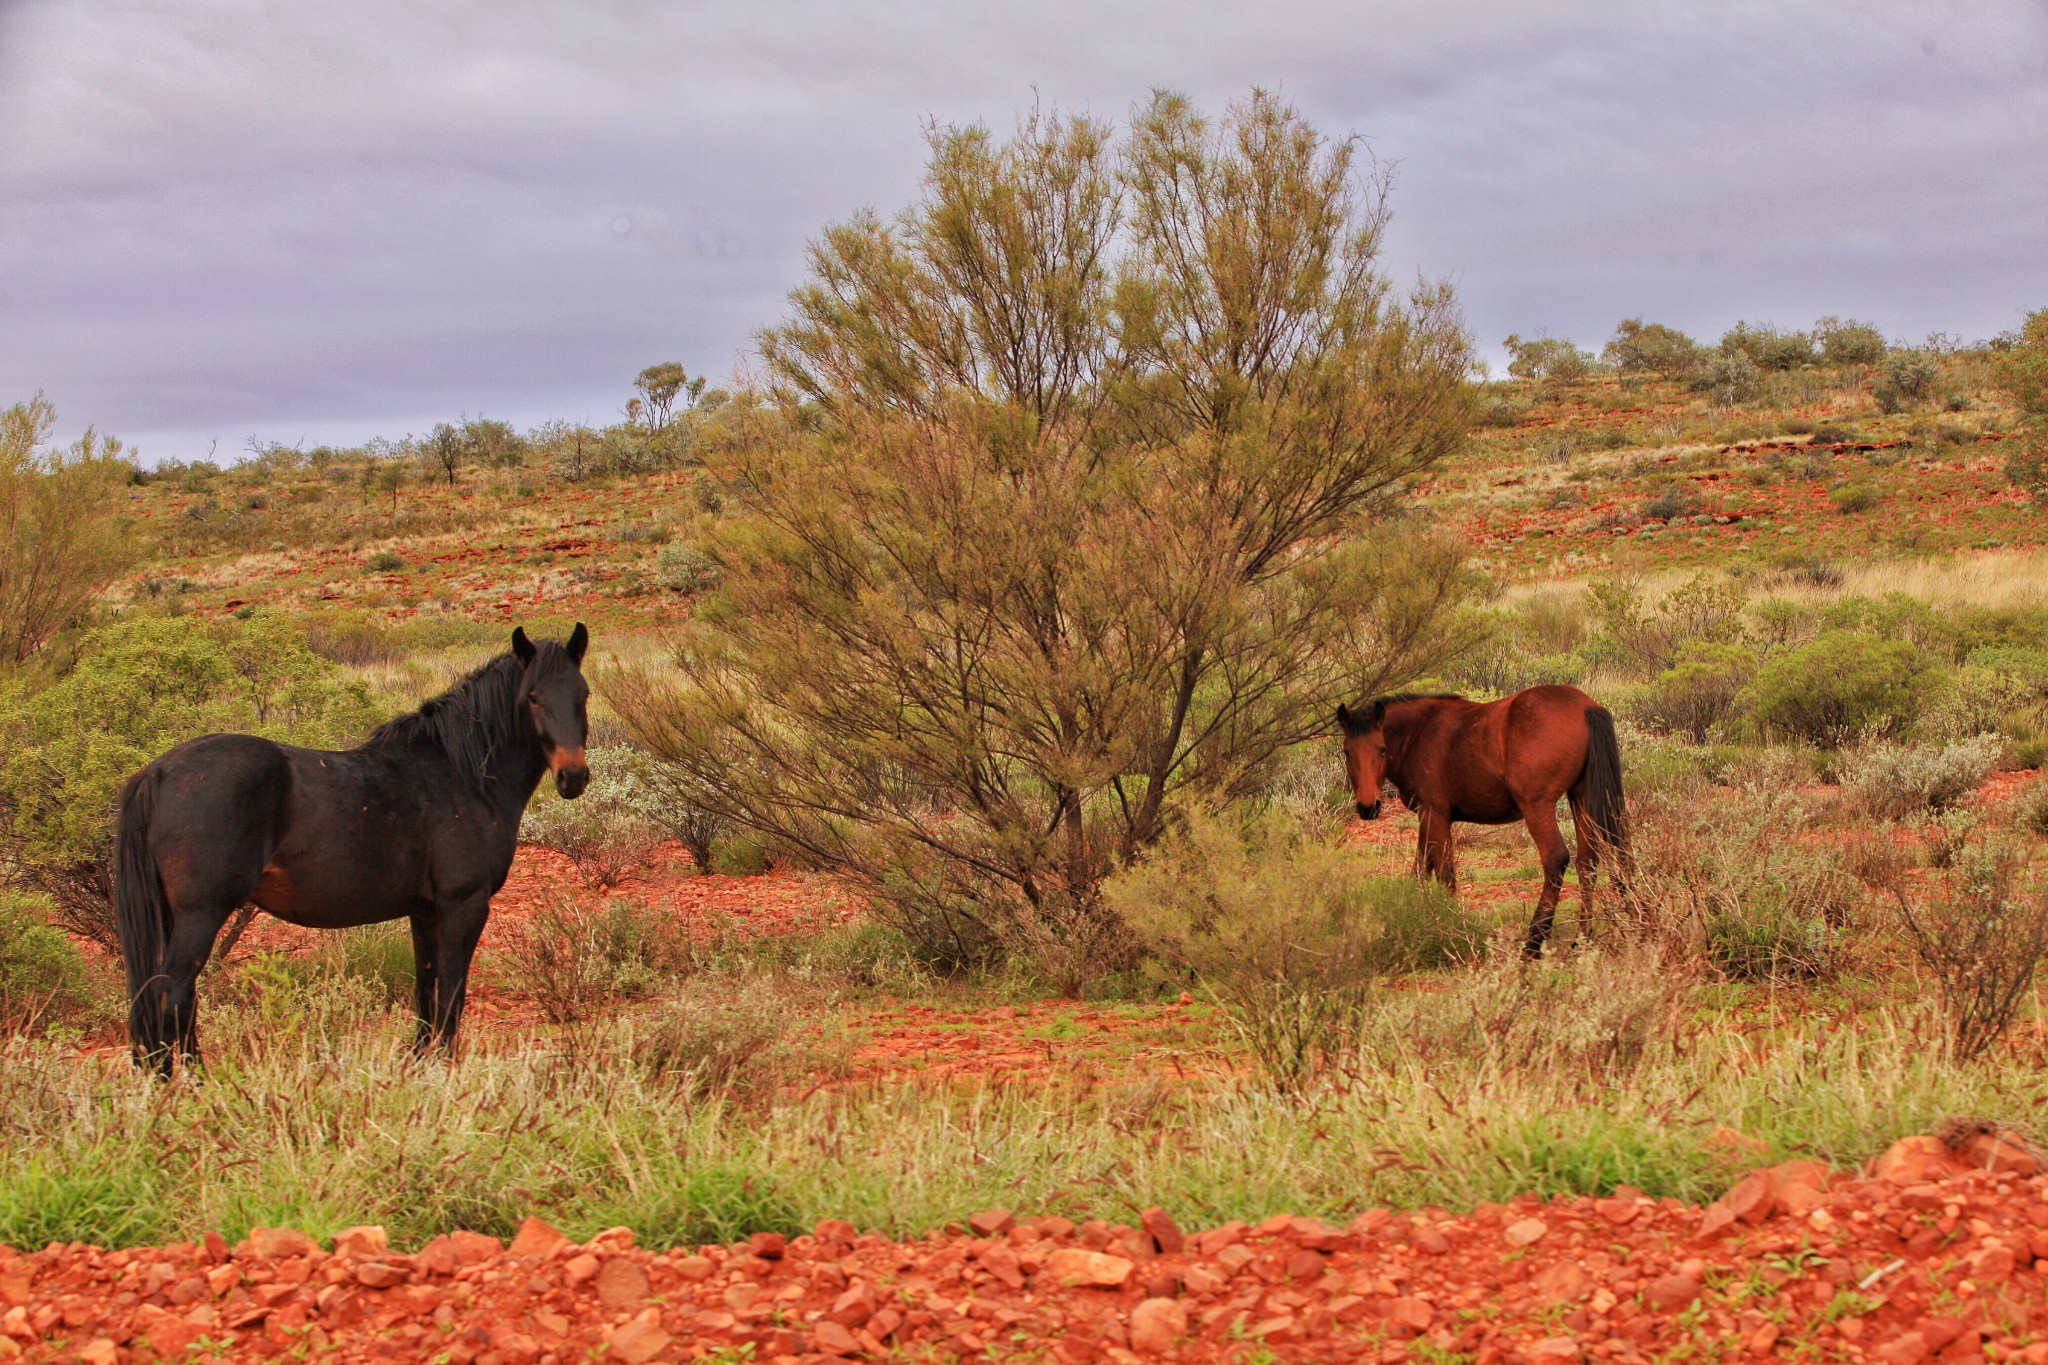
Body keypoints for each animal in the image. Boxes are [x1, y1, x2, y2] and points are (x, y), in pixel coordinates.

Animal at [117, 626, 589, 1072]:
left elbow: (427, 991)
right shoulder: (464, 906)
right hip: (201, 913)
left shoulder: (425, 911)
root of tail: (157, 773)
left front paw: (422, 1064)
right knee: (173, 997)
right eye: (532, 697)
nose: (574, 777)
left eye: (583, 694)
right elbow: (451, 993)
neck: (464, 774)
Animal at [1335, 683, 1622, 961]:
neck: (1419, 732)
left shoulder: (1435, 814)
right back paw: (1582, 940)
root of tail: (1585, 707)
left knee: (1556, 860)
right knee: (1587, 862)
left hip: (1538, 806)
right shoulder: (1428, 817)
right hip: (1580, 796)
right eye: (1347, 751)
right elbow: (1422, 869)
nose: (1368, 807)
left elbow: (1444, 874)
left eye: (1382, 749)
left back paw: (1533, 943)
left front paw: (1449, 927)